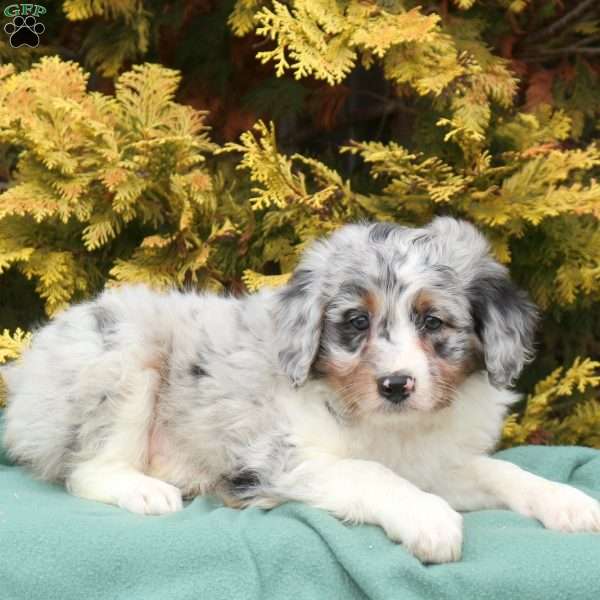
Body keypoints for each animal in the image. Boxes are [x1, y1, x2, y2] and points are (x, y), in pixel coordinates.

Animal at [2, 219, 596, 564]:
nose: (396, 385)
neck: (391, 428)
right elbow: (370, 473)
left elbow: (504, 472)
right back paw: (147, 490)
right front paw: (430, 520)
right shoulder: (281, 457)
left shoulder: (437, 461)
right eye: (356, 322)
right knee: (86, 470)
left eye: (433, 322)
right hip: (124, 357)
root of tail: (27, 373)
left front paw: (570, 503)